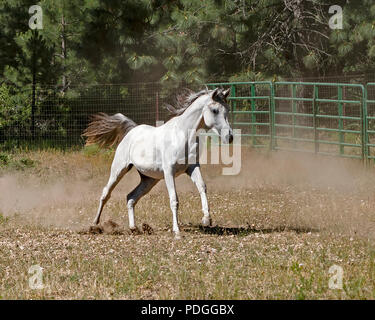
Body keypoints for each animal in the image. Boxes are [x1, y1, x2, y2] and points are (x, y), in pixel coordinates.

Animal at [83, 87, 234, 238]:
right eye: (214, 110)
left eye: (227, 109)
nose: (230, 137)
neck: (183, 136)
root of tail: (132, 130)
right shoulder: (169, 172)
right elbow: (174, 200)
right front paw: (177, 232)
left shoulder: (192, 167)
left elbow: (202, 187)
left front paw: (206, 219)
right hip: (119, 170)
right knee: (106, 193)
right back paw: (94, 225)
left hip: (149, 180)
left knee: (131, 197)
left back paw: (134, 228)